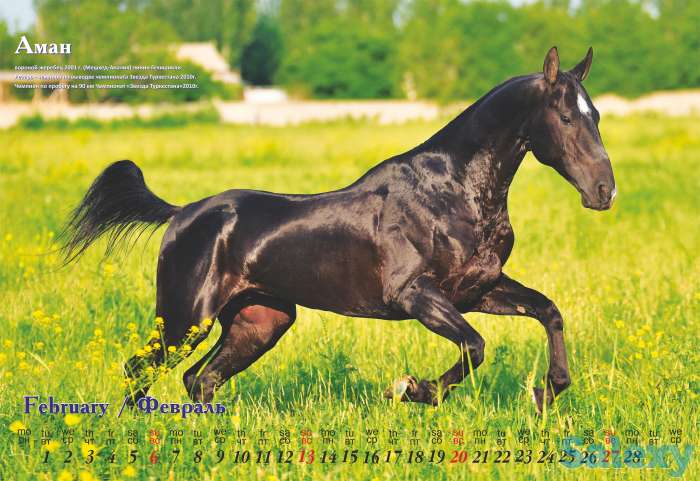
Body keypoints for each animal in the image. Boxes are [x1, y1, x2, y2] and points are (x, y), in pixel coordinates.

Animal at [64, 47, 612, 410]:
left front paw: (545, 393)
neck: (452, 191)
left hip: (260, 321)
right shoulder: (415, 295)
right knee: (141, 370)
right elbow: (474, 346)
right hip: (185, 318)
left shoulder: (478, 289)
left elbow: (548, 312)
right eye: (566, 117)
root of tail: (181, 214)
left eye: (598, 115)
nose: (604, 191)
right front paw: (412, 389)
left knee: (201, 380)